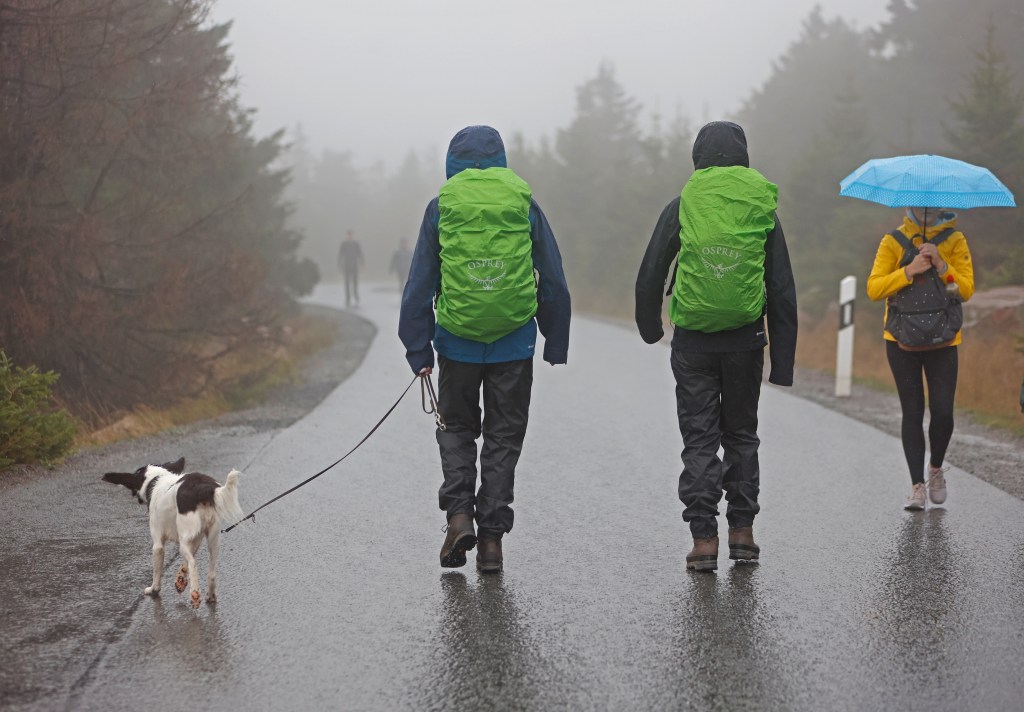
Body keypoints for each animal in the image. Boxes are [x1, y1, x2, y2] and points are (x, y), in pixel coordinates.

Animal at [102, 456, 242, 606]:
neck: (156, 479)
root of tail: (205, 489)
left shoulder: (158, 545)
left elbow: (157, 572)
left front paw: (154, 589)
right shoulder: (195, 540)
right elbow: (185, 563)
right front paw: (181, 579)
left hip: (185, 540)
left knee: (193, 564)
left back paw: (194, 593)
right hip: (213, 539)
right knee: (211, 572)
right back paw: (210, 596)